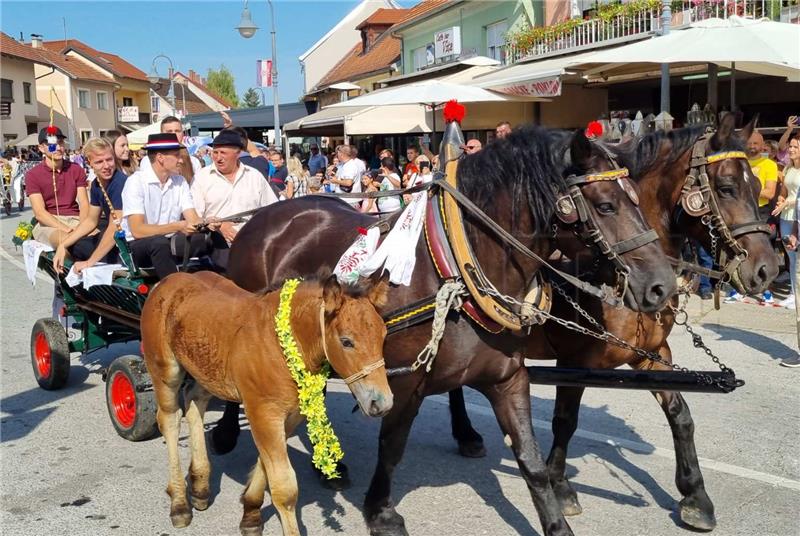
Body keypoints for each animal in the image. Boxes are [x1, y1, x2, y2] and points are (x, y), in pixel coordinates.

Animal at [145, 274, 396, 532]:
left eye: (383, 336)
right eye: (346, 341)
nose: (382, 402)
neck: (280, 345)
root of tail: (166, 281)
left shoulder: (289, 416)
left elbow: (265, 465)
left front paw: (250, 512)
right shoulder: (263, 413)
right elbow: (285, 489)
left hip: (205, 370)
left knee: (195, 402)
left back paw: (199, 487)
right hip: (164, 370)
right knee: (170, 419)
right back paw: (179, 504)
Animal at [219, 126, 676, 536]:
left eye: (638, 198)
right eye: (606, 206)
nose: (662, 286)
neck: (458, 264)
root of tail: (264, 216)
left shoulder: (509, 378)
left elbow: (531, 460)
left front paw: (556, 523)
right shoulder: (404, 382)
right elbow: (391, 445)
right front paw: (380, 512)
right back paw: (226, 433)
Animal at [446, 114, 780, 532]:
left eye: (758, 186)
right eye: (727, 187)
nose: (767, 270)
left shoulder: (651, 353)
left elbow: (681, 414)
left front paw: (695, 495)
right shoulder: (575, 360)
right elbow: (565, 421)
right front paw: (560, 487)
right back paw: (466, 433)